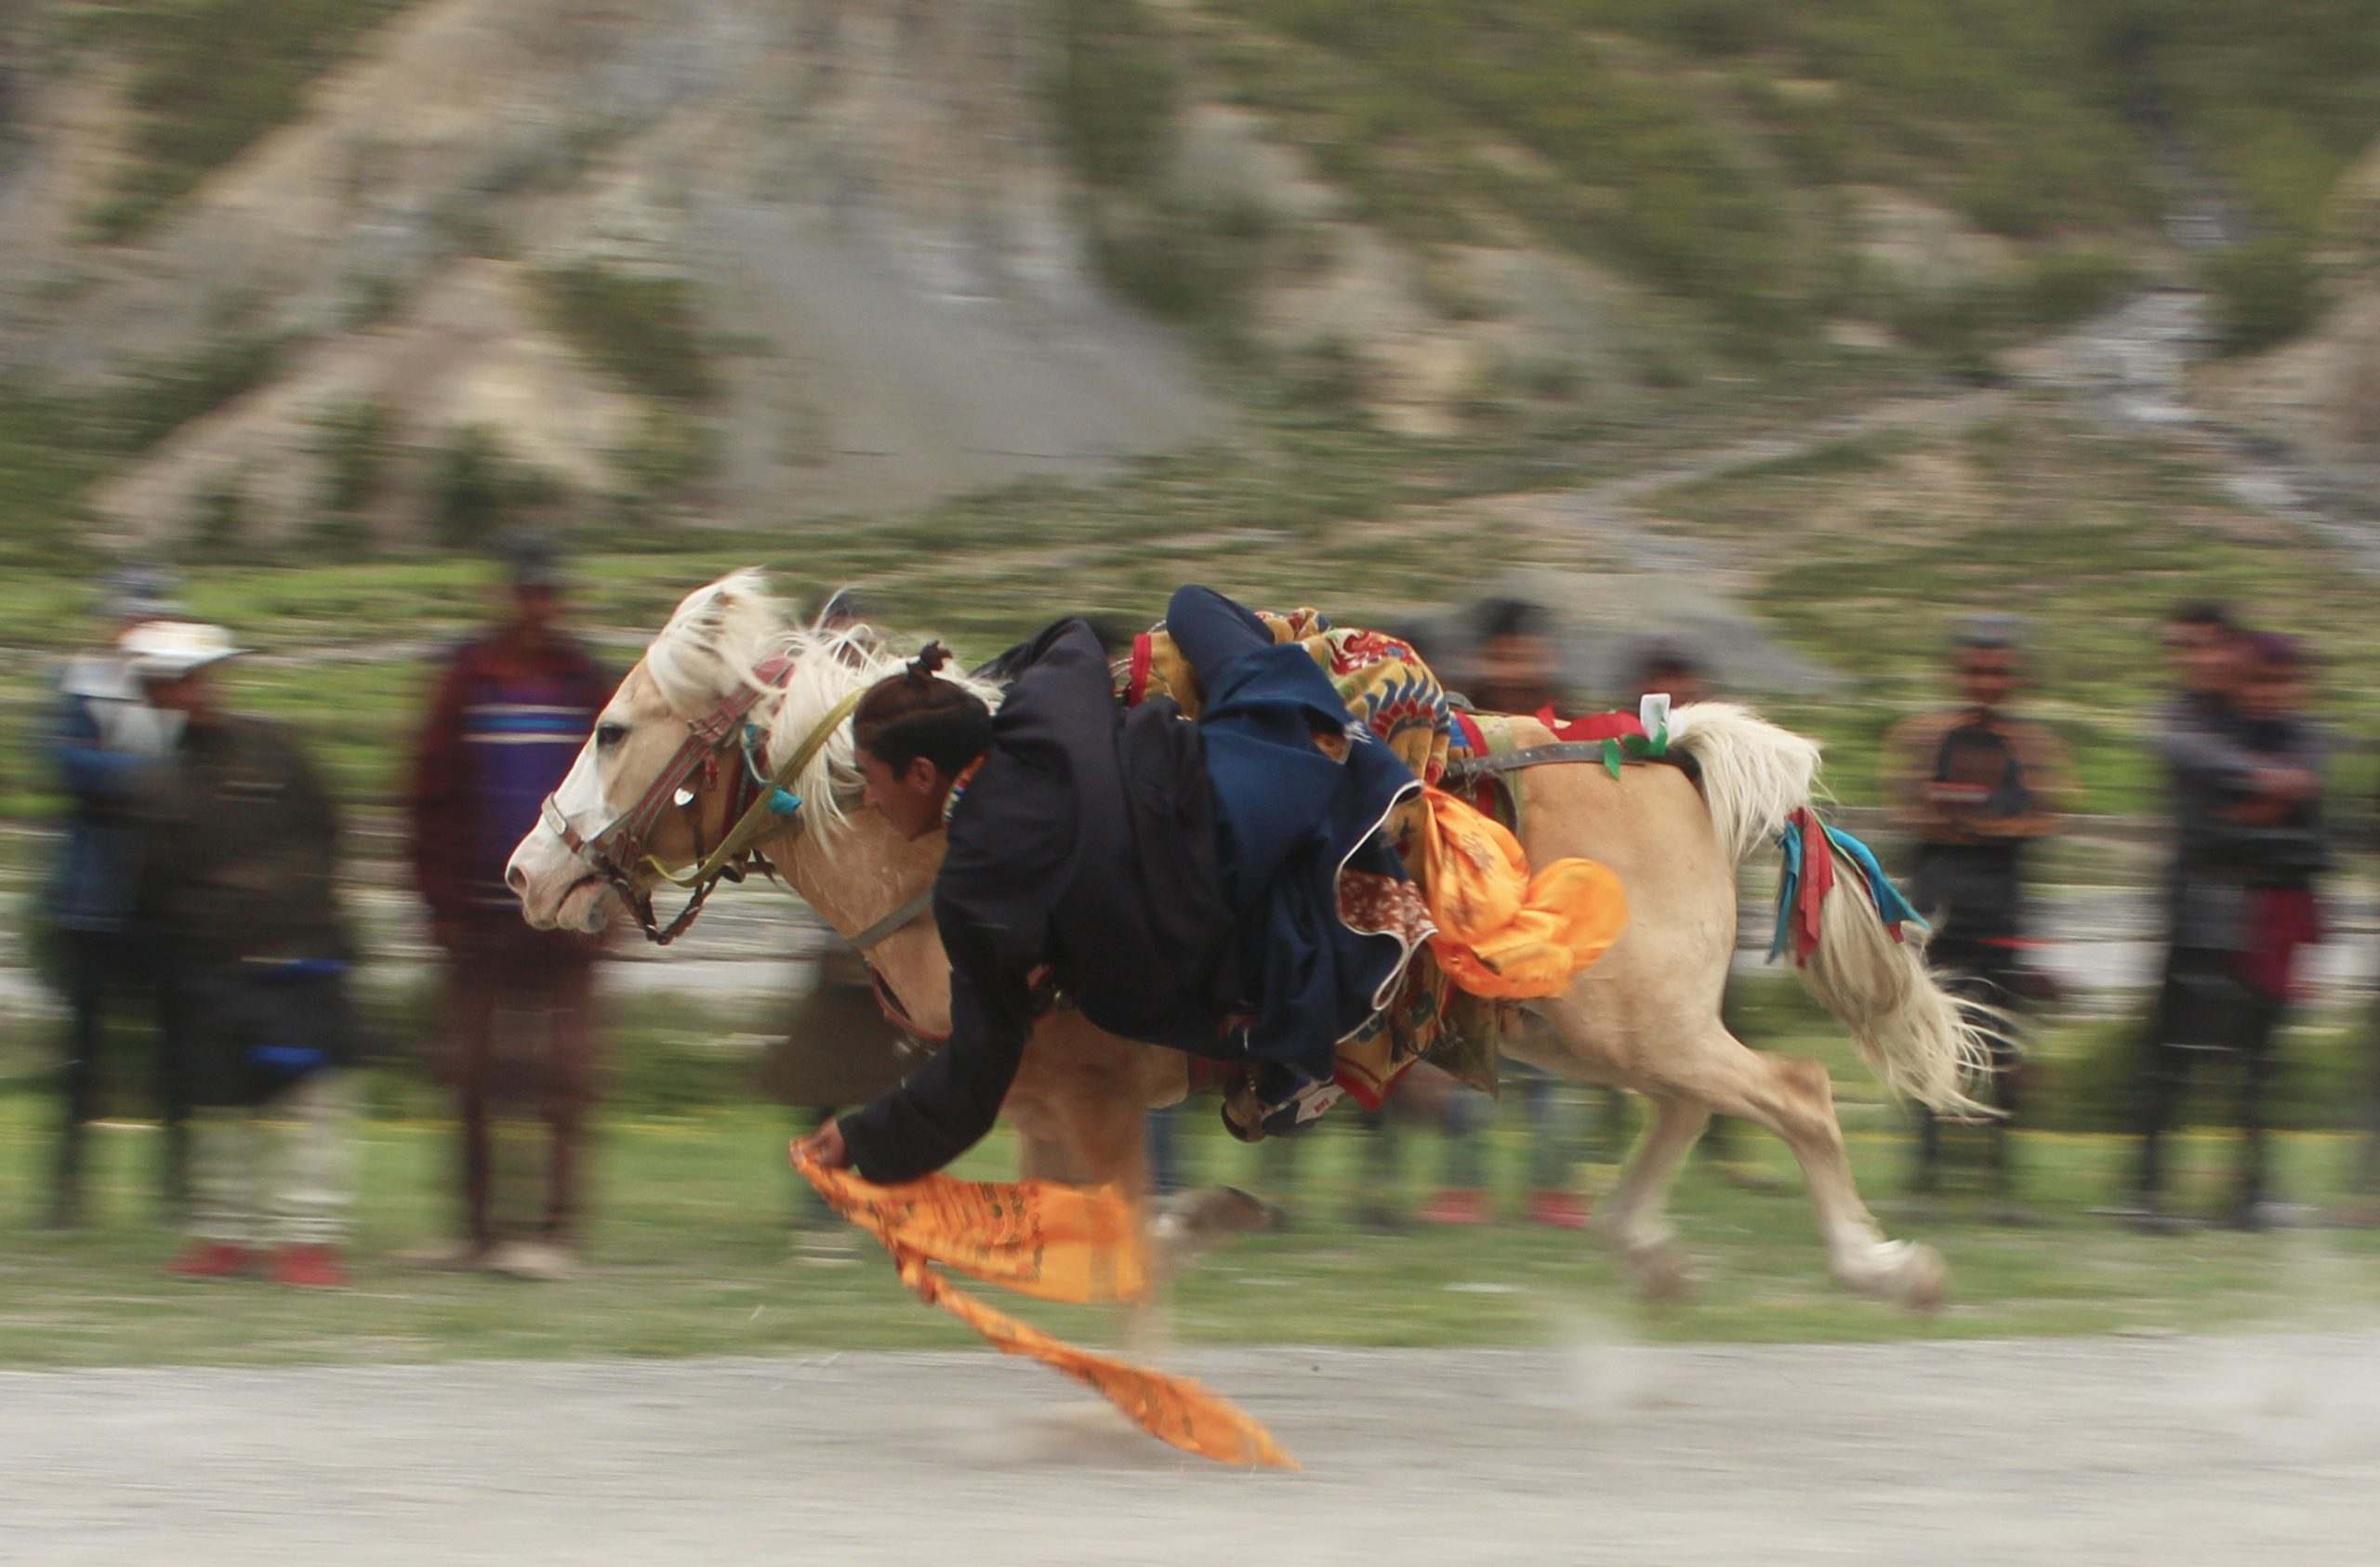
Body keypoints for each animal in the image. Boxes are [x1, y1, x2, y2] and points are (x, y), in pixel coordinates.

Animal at [511, 571, 1999, 1303]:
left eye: (613, 728)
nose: (526, 875)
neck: (952, 830)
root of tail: (1664, 748)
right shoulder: (1047, 1094)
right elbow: (1070, 1214)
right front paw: (1195, 1225)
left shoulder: (1079, 1080)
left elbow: (1100, 1213)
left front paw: (1192, 1229)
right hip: (1588, 1023)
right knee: (1696, 1106)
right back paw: (1648, 1245)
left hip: (1626, 1018)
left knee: (1793, 1092)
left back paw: (1885, 1264)